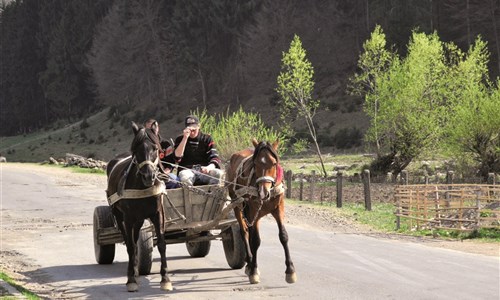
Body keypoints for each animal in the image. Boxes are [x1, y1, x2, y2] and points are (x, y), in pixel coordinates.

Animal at [105, 122, 172, 290]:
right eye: (136, 150)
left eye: (155, 148)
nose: (149, 176)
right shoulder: (128, 218)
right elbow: (130, 246)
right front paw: (131, 280)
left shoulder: (158, 214)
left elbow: (161, 244)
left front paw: (165, 278)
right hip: (119, 216)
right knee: (130, 242)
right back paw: (133, 272)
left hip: (140, 220)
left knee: (135, 241)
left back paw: (135, 268)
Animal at [227, 138, 296, 284]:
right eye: (255, 163)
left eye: (274, 163)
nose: (263, 192)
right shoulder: (254, 212)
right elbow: (255, 240)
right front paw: (253, 270)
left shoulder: (278, 208)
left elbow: (283, 236)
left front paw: (290, 270)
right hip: (237, 205)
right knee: (244, 232)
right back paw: (250, 262)